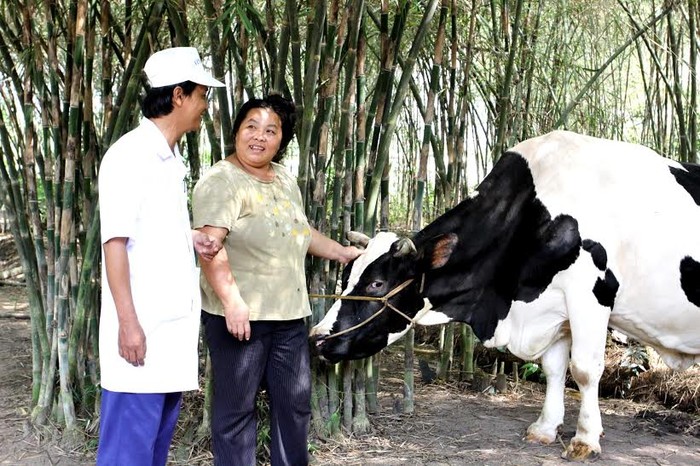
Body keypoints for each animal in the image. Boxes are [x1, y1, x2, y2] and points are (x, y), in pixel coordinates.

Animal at [310, 129, 700, 460]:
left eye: (376, 283)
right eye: (345, 276)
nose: (317, 338)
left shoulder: (590, 293)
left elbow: (585, 369)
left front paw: (585, 439)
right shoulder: (552, 307)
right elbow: (555, 368)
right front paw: (544, 428)